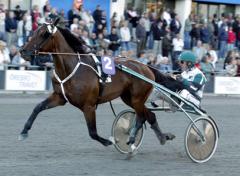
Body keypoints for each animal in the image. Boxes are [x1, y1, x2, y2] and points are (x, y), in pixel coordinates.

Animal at [19, 18, 181, 148]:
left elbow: (92, 132)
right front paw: (24, 131)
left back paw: (133, 137)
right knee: (149, 115)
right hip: (129, 98)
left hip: (137, 98)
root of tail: (146, 67)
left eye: (44, 34)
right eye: (34, 31)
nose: (23, 51)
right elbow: (38, 107)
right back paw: (163, 137)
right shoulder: (59, 97)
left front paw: (110, 141)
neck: (71, 69)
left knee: (142, 117)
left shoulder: (89, 106)